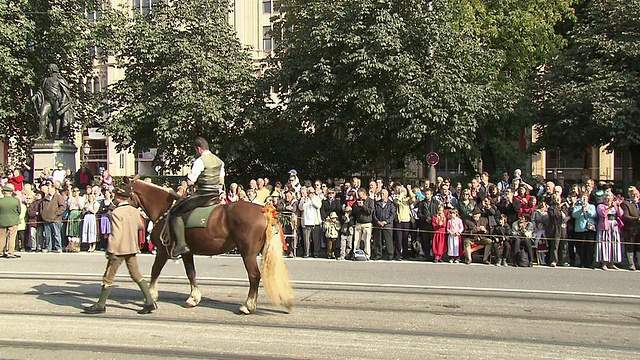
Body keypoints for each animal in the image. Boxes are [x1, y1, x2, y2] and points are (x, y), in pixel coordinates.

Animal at [129, 179, 294, 314]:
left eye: (123, 191)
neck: (165, 210)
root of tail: (263, 211)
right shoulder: (187, 253)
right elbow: (191, 273)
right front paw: (193, 298)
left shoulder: (163, 251)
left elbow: (155, 271)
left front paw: (151, 296)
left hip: (248, 254)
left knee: (254, 276)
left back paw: (248, 306)